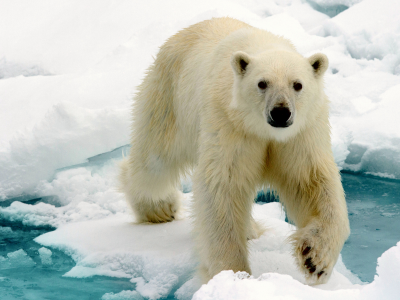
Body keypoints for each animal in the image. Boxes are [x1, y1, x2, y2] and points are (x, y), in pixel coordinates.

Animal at [119, 17, 350, 284]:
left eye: (298, 85)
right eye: (262, 83)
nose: (280, 112)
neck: (263, 131)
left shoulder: (301, 134)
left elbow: (311, 181)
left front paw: (315, 258)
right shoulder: (230, 123)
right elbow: (224, 185)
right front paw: (232, 273)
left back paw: (249, 229)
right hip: (169, 99)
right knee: (154, 162)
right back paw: (160, 208)